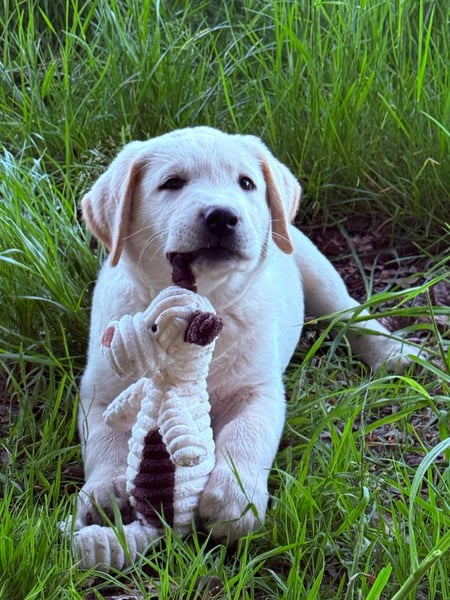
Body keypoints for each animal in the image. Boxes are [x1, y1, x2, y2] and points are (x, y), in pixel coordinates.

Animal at [76, 126, 419, 542]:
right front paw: (105, 493)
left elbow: (247, 434)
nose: (223, 216)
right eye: (171, 183)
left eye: (246, 183)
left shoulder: (258, 389)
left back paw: (393, 351)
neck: (205, 300)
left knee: (350, 310)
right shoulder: (100, 390)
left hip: (316, 269)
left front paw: (235, 498)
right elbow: (105, 437)